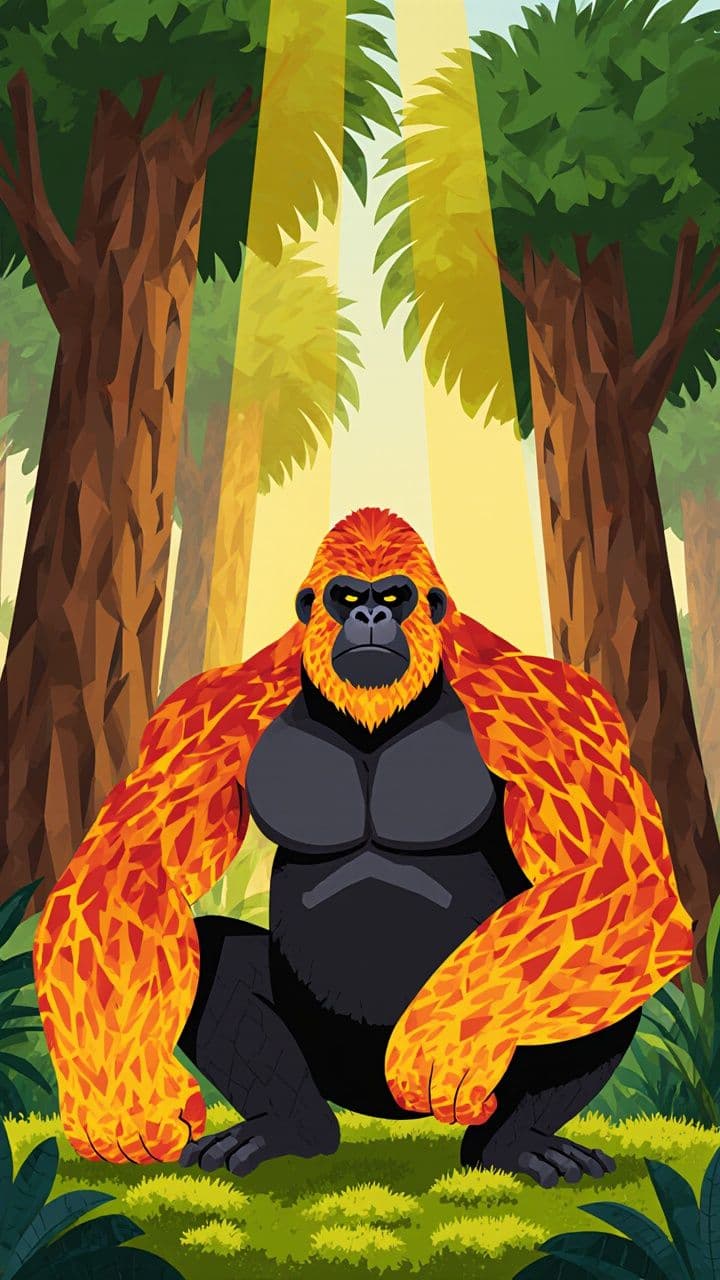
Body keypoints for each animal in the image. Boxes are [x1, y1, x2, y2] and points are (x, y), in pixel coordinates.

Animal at [33, 508, 692, 1189]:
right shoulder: (201, 713)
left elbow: (618, 875)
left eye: (394, 597)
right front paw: (123, 1103)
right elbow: (132, 867)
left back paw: (509, 1145)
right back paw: (294, 1130)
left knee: (604, 965)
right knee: (215, 950)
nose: (371, 617)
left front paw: (449, 1038)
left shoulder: (554, 704)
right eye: (346, 597)